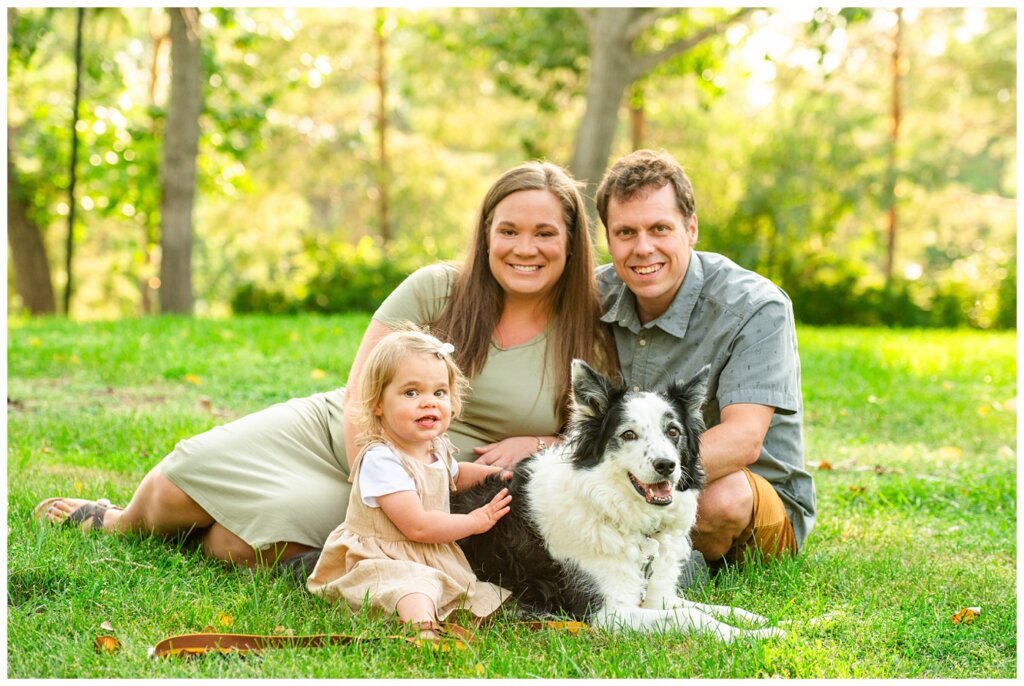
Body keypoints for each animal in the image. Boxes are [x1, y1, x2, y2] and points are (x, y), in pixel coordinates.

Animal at [452, 362, 778, 642]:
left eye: (673, 432)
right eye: (628, 434)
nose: (666, 465)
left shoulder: (657, 595)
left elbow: (711, 607)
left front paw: (768, 620)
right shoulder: (605, 612)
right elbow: (690, 617)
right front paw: (757, 636)